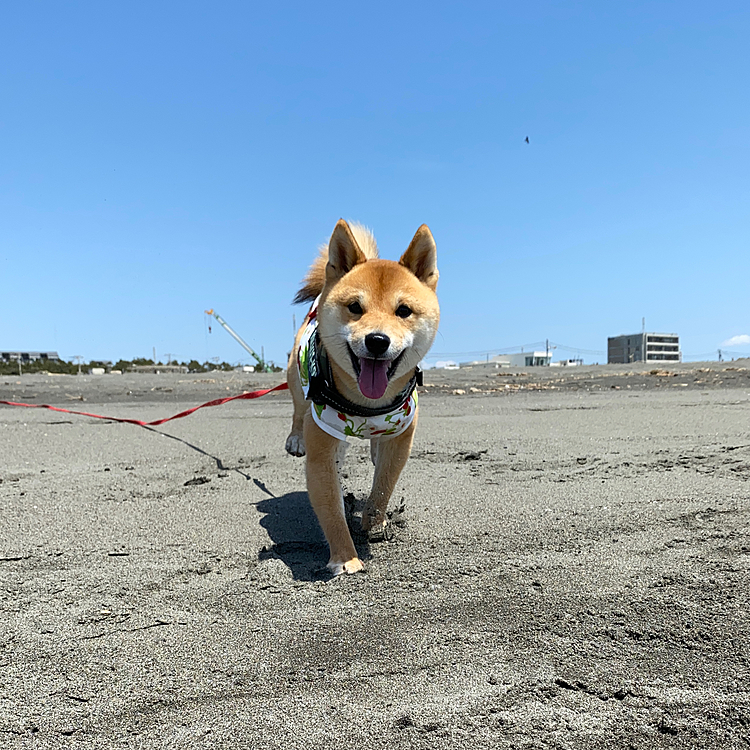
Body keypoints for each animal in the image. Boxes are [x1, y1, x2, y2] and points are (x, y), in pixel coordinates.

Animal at [286, 220, 440, 580]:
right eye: (355, 307)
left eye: (403, 311)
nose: (377, 340)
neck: (366, 406)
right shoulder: (320, 450)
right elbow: (331, 507)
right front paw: (345, 557)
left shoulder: (402, 436)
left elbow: (384, 483)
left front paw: (375, 520)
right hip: (295, 379)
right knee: (298, 411)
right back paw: (297, 438)